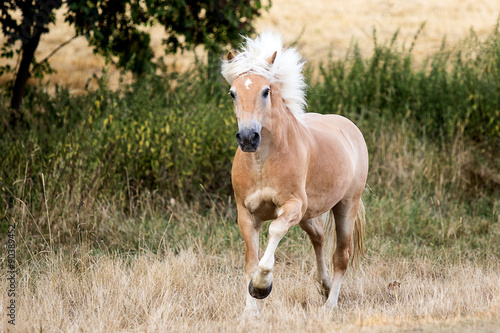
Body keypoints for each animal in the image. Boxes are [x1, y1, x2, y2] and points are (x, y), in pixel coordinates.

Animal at [221, 32, 370, 316]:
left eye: (266, 91)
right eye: (233, 93)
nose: (247, 138)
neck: (263, 163)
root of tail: (348, 127)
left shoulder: (292, 206)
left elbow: (275, 231)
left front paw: (261, 286)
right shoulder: (247, 215)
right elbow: (250, 261)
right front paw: (250, 311)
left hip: (346, 205)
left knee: (341, 256)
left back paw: (330, 304)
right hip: (309, 214)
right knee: (319, 237)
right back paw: (323, 287)